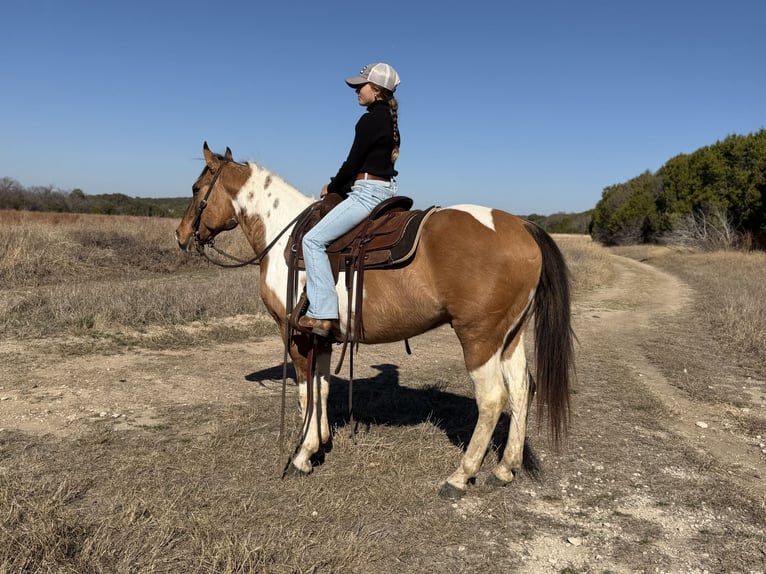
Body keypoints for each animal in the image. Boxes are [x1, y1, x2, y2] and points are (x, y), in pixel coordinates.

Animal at [175, 142, 574, 499]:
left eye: (195, 189)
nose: (180, 235)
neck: (285, 236)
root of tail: (521, 226)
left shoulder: (296, 335)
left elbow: (306, 391)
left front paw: (303, 455)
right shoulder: (320, 335)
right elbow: (322, 388)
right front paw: (321, 443)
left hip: (478, 338)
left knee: (492, 398)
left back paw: (460, 476)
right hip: (510, 336)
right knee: (522, 389)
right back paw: (505, 468)